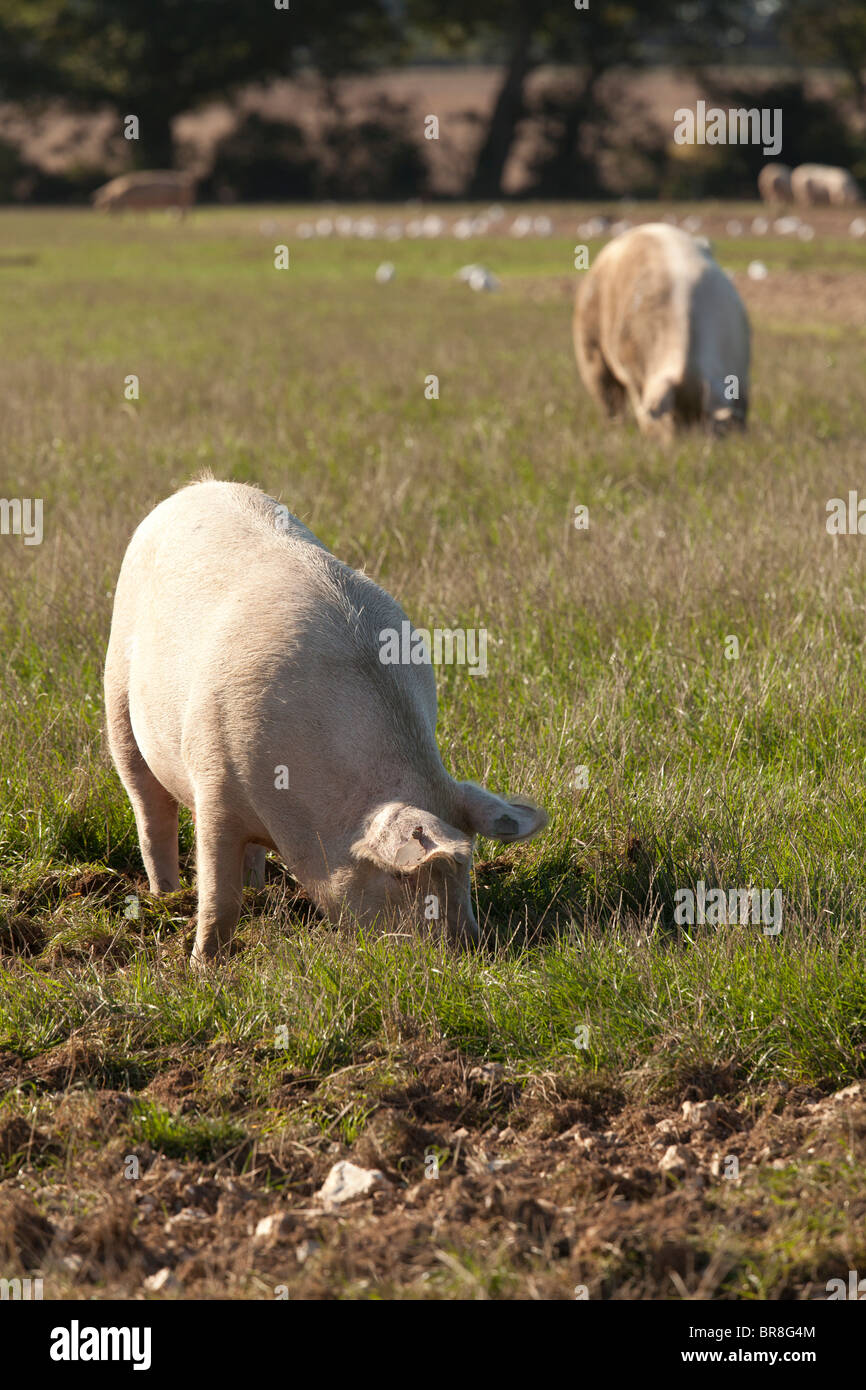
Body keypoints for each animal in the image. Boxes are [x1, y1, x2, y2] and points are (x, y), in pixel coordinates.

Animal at [103, 480, 547, 967]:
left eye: (467, 866)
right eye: (399, 876)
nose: (468, 950)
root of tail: (196, 488)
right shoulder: (213, 781)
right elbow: (219, 894)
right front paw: (203, 965)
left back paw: (260, 896)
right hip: (117, 697)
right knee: (150, 814)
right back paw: (165, 897)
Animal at [572, 219, 750, 436]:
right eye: (671, 421)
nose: (688, 441)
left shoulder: (742, 367)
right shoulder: (630, 361)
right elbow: (637, 397)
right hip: (589, 345)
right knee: (608, 395)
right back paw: (614, 429)